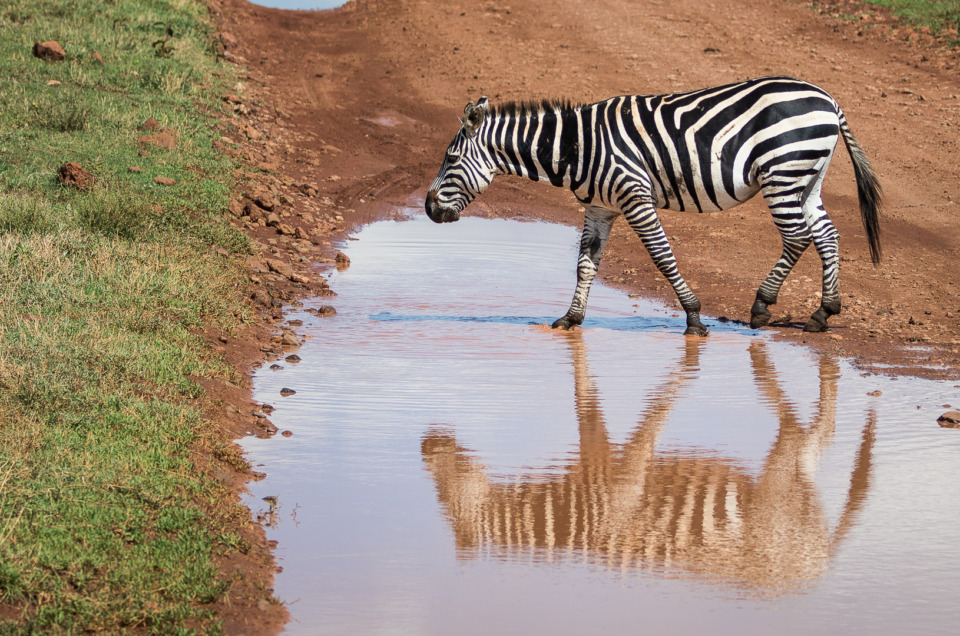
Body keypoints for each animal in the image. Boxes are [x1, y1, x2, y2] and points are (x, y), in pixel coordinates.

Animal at [425, 76, 882, 335]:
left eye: (450, 159)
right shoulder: (600, 207)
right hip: (808, 178)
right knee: (826, 234)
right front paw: (571, 319)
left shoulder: (634, 195)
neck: (577, 147)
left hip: (782, 171)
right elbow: (585, 264)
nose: (428, 208)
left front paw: (694, 318)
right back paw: (823, 313)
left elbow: (663, 257)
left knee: (797, 236)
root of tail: (828, 99)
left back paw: (762, 306)